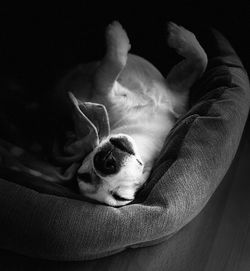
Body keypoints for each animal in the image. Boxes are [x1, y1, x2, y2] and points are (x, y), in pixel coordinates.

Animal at [58, 21, 207, 207]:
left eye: (120, 197)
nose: (105, 163)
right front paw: (117, 35)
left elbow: (201, 59)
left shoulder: (176, 92)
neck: (143, 128)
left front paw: (180, 36)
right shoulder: (101, 89)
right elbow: (116, 61)